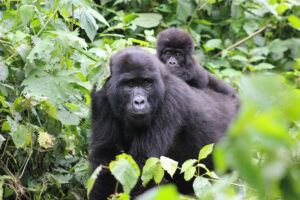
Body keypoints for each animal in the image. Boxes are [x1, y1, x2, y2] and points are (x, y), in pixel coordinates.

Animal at [88, 46, 238, 198]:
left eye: (146, 83)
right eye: (130, 83)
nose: (139, 102)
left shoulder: (170, 101)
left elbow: (143, 165)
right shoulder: (100, 94)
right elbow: (105, 155)